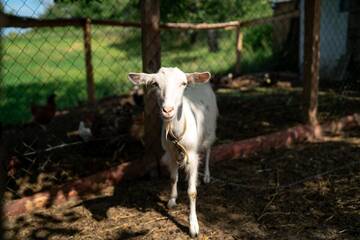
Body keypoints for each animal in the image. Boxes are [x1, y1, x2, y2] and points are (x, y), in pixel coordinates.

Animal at [129, 66, 218, 237]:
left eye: (183, 83)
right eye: (155, 84)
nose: (168, 110)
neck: (176, 133)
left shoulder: (192, 153)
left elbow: (192, 192)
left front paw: (193, 227)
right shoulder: (170, 153)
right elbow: (172, 178)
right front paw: (172, 200)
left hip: (210, 128)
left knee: (208, 150)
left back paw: (206, 176)